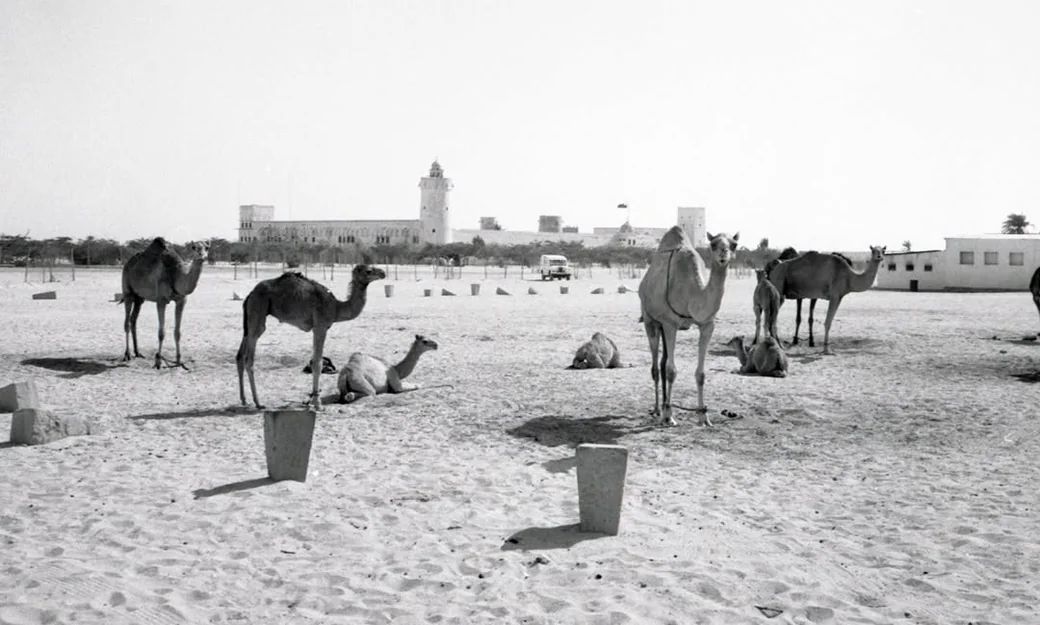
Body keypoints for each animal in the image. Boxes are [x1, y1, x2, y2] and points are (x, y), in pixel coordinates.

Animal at [119, 237, 209, 369]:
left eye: (207, 247)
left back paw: (138, 352)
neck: (175, 275)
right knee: (126, 322)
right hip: (128, 292)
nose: (201, 255)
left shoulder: (181, 301)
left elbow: (178, 332)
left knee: (133, 320)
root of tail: (127, 263)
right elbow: (161, 333)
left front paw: (178, 361)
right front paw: (158, 361)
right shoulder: (161, 301)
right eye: (194, 247)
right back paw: (127, 354)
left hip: (139, 298)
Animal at [236, 265, 386, 410]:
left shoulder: (318, 328)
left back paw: (244, 400)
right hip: (258, 309)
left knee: (240, 356)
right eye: (368, 271)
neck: (336, 307)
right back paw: (258, 403)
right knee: (250, 358)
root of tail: (251, 294)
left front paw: (313, 401)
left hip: (249, 319)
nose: (383, 273)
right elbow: (317, 363)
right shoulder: (320, 327)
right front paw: (318, 404)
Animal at [638, 226, 739, 427]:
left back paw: (664, 404)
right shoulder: (670, 324)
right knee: (656, 367)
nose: (723, 253)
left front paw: (703, 416)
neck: (692, 294)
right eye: (713, 244)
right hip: (651, 321)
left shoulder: (707, 324)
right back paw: (658, 409)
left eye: (734, 244)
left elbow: (701, 374)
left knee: (662, 363)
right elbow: (671, 371)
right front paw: (669, 416)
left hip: (662, 326)